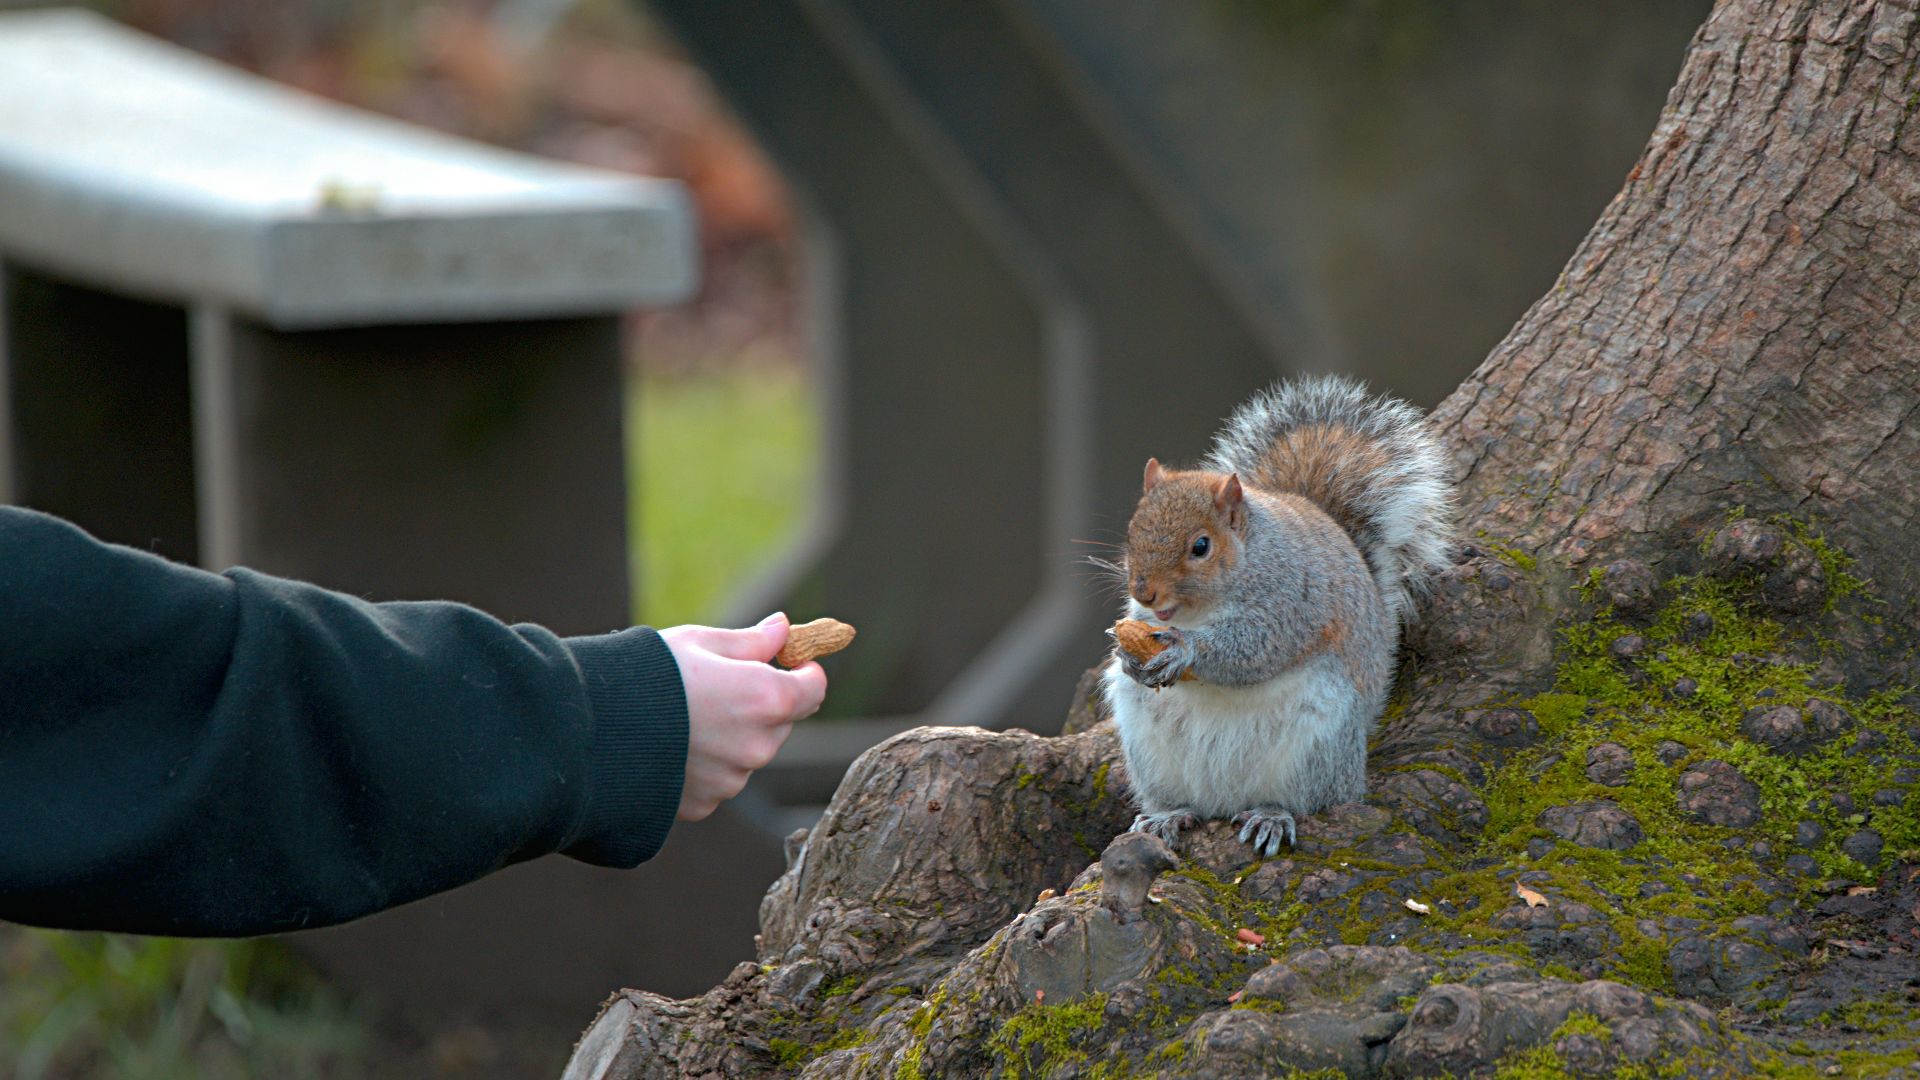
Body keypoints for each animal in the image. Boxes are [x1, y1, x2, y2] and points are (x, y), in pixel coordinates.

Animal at [1101, 375, 1454, 856]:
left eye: (1200, 546)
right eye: (1133, 531)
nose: (1144, 591)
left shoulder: (1291, 601)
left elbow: (1254, 649)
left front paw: (1184, 650)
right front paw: (1127, 656)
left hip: (1317, 742)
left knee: (1308, 799)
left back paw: (1272, 816)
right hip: (1148, 750)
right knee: (1182, 800)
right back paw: (1169, 815)